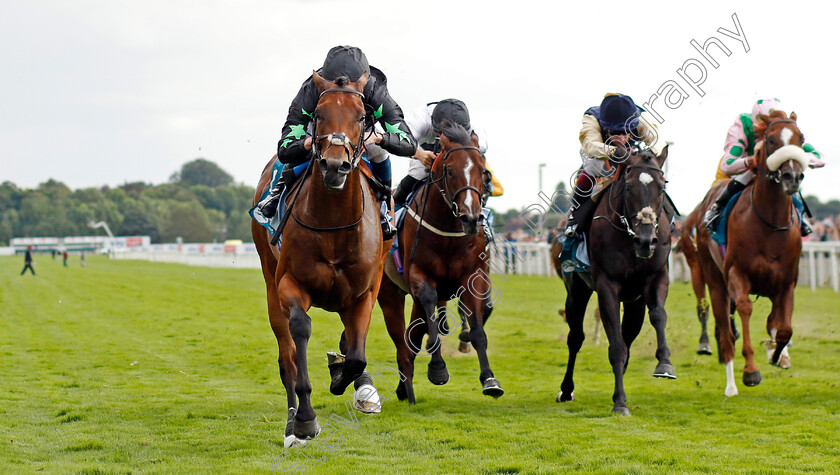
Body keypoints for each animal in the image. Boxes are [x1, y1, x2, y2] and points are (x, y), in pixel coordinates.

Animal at [251, 72, 388, 448]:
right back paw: (292, 421)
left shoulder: (363, 293)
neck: (333, 223)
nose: (334, 165)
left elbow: (356, 357)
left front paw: (343, 375)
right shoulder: (289, 284)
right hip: (270, 283)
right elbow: (300, 333)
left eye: (362, 116)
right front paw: (305, 422)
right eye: (319, 114)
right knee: (286, 354)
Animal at [378, 121, 502, 404]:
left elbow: (478, 329)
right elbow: (431, 319)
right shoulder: (420, 278)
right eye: (449, 170)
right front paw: (437, 369)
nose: (470, 218)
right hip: (388, 292)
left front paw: (490, 379)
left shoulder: (473, 277)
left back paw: (403, 388)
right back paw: (406, 386)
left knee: (412, 336)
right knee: (404, 337)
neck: (448, 231)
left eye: (482, 171)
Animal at [556, 144, 676, 416]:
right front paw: (620, 402)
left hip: (633, 303)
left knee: (628, 335)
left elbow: (658, 316)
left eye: (662, 186)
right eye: (629, 187)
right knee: (575, 337)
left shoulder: (656, 278)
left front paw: (664, 363)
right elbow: (616, 346)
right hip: (576, 290)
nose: (646, 241)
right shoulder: (607, 286)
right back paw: (566, 390)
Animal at [688, 111, 808, 398]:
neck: (770, 225)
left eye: (801, 139)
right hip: (713, 278)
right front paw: (751, 370)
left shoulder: (787, 282)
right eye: (771, 140)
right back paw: (731, 385)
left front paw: (777, 354)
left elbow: (783, 328)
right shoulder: (736, 273)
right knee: (725, 333)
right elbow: (744, 309)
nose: (792, 176)